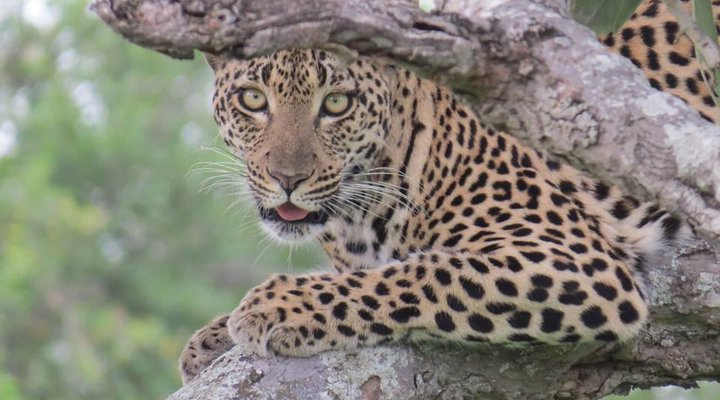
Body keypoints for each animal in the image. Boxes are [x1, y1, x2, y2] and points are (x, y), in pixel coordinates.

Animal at [177, 1, 713, 384]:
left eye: (337, 104)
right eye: (252, 100)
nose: (288, 179)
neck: (356, 217)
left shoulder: (576, 258)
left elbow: (419, 273)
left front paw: (277, 306)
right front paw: (212, 338)